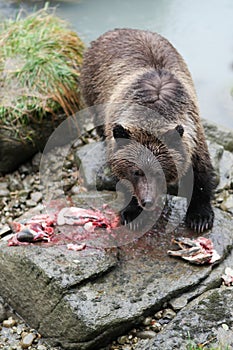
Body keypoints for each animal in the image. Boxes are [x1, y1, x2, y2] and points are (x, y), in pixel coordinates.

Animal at [80, 28, 215, 232]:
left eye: (159, 172)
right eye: (137, 172)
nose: (148, 201)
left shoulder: (193, 136)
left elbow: (201, 174)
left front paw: (200, 217)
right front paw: (132, 212)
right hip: (94, 90)